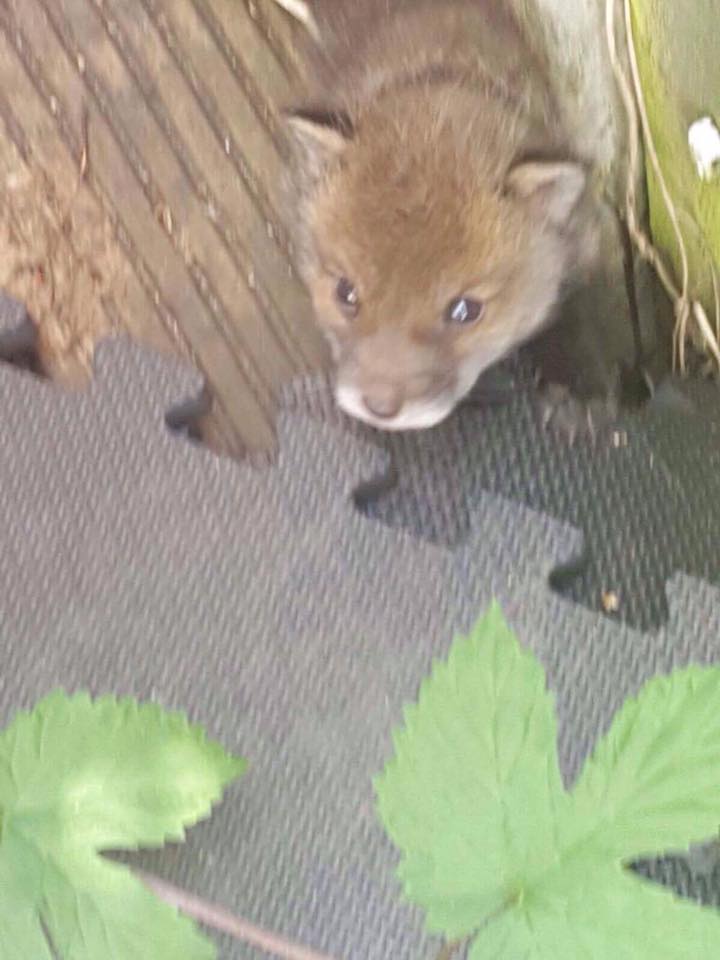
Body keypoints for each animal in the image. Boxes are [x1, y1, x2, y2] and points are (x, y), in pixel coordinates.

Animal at [283, 0, 605, 431]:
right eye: (344, 293)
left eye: (465, 311)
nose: (380, 408)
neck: (446, 67)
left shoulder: (584, 241)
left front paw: (574, 387)